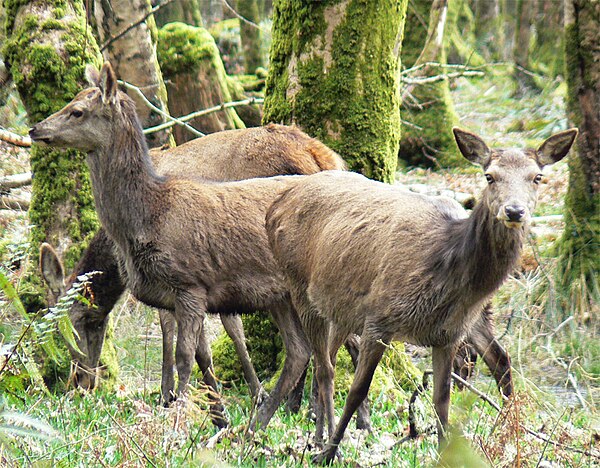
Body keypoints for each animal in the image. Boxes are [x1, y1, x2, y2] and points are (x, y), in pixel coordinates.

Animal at [29, 63, 318, 432]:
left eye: (77, 110)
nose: (80, 382)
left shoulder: (190, 284)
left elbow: (184, 354)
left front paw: (178, 414)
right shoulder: (179, 293)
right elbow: (201, 353)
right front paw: (217, 415)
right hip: (282, 296)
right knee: (301, 350)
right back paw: (262, 426)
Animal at [268, 126, 576, 462]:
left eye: (537, 177)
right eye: (490, 176)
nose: (514, 210)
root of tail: (277, 206)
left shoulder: (449, 334)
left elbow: (442, 401)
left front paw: (444, 455)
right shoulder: (379, 318)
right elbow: (358, 390)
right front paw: (328, 453)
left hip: (341, 308)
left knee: (329, 360)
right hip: (300, 287)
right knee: (324, 368)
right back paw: (321, 441)